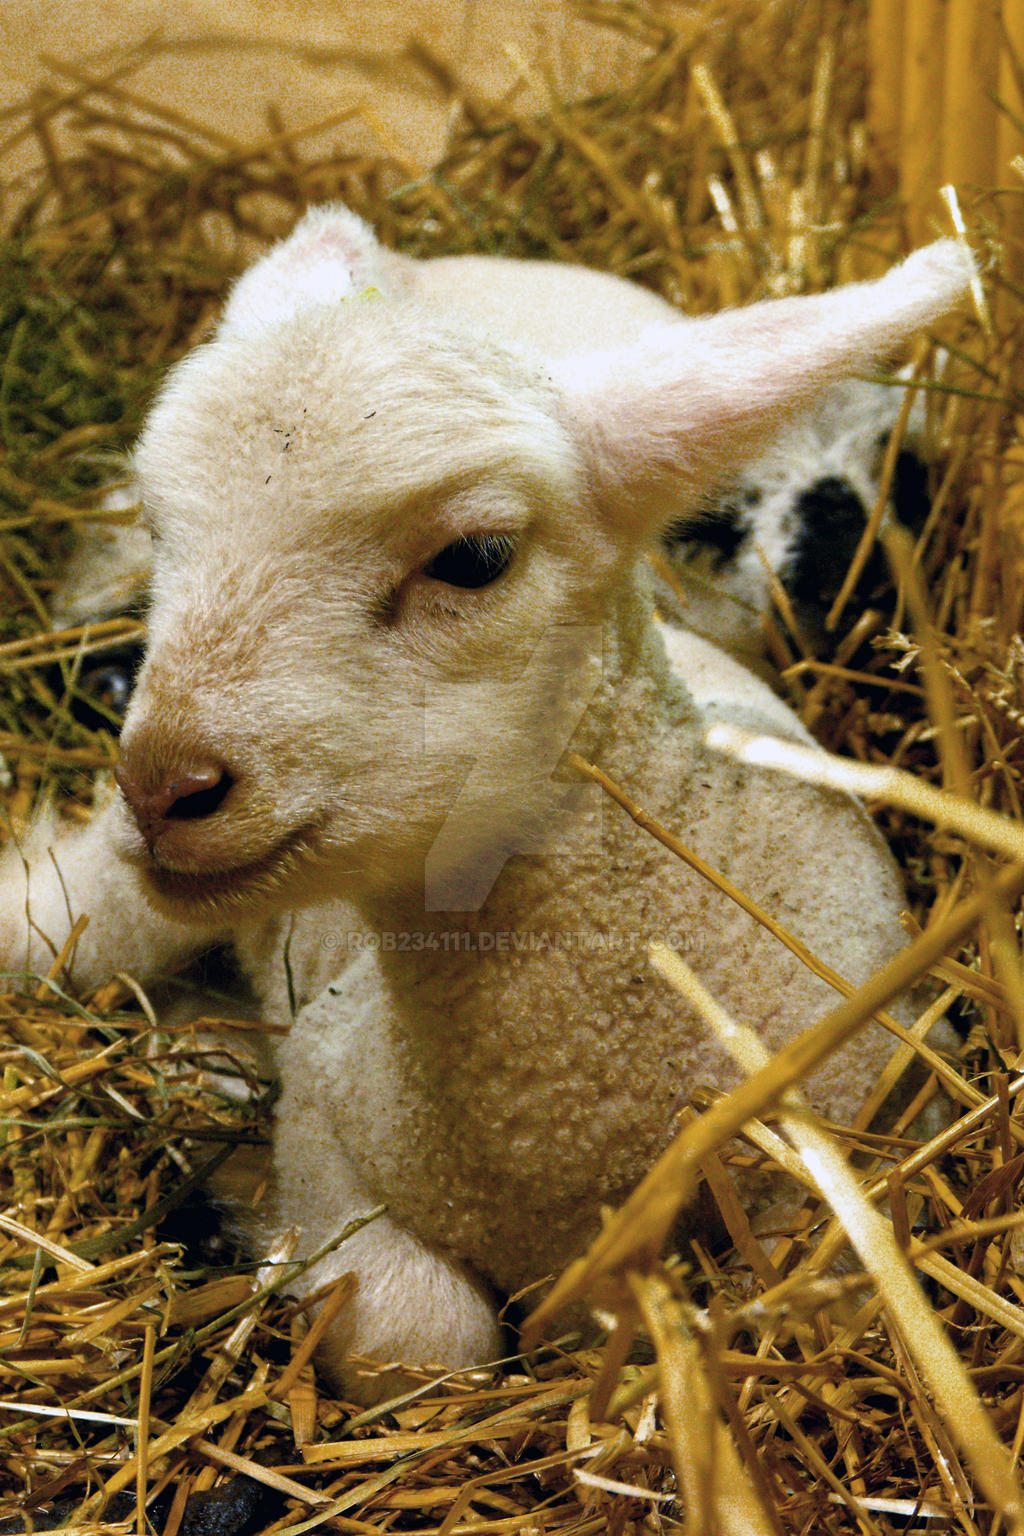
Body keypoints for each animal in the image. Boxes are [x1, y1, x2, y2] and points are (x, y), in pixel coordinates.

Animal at [0, 206, 972, 1400]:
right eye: (169, 537)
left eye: (472, 557)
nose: (167, 786)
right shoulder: (326, 1109)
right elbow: (424, 1343)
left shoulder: (873, 1149)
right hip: (111, 904)